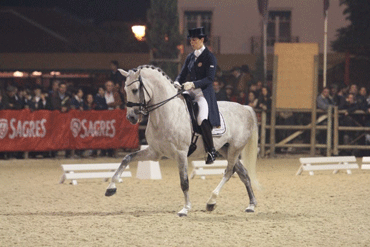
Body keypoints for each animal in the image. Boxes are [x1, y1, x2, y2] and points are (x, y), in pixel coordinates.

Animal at [105, 65, 260, 216]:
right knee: (243, 173)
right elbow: (127, 158)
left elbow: (184, 182)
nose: (131, 117)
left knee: (228, 172)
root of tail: (244, 107)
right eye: (125, 90)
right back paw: (251, 205)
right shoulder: (154, 152)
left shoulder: (181, 153)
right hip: (225, 149)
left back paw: (211, 201)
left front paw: (185, 208)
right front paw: (111, 188)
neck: (166, 113)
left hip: (235, 148)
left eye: (135, 90)